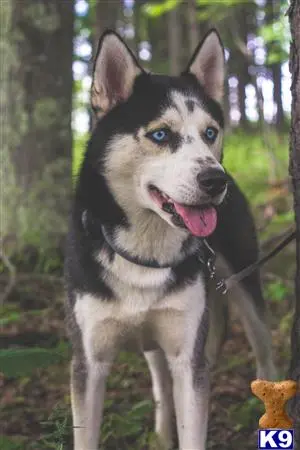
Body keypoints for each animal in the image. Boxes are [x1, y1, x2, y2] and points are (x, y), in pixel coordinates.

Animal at [65, 29, 276, 448]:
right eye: (160, 134)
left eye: (210, 133)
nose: (215, 181)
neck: (143, 254)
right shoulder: (89, 362)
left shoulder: (188, 357)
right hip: (154, 341)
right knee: (160, 383)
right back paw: (162, 434)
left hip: (244, 285)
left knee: (265, 356)